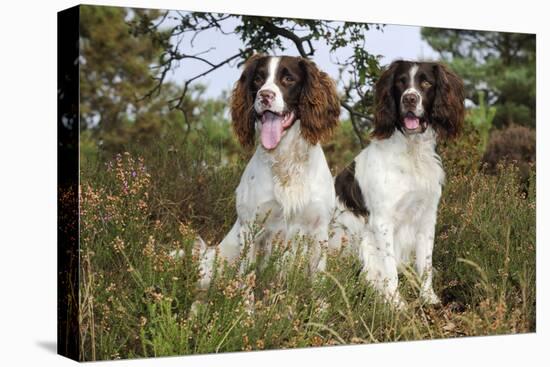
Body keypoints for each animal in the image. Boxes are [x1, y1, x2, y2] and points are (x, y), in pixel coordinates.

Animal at [198, 55, 340, 290]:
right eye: (258, 79)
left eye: (288, 79)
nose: (265, 95)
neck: (286, 161)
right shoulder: (252, 228)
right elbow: (246, 283)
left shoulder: (319, 230)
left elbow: (317, 285)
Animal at [332, 60, 466, 308]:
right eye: (401, 83)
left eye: (426, 83)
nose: (409, 99)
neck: (412, 151)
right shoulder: (382, 222)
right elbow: (389, 269)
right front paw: (396, 304)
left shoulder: (427, 217)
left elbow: (426, 265)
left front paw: (429, 298)